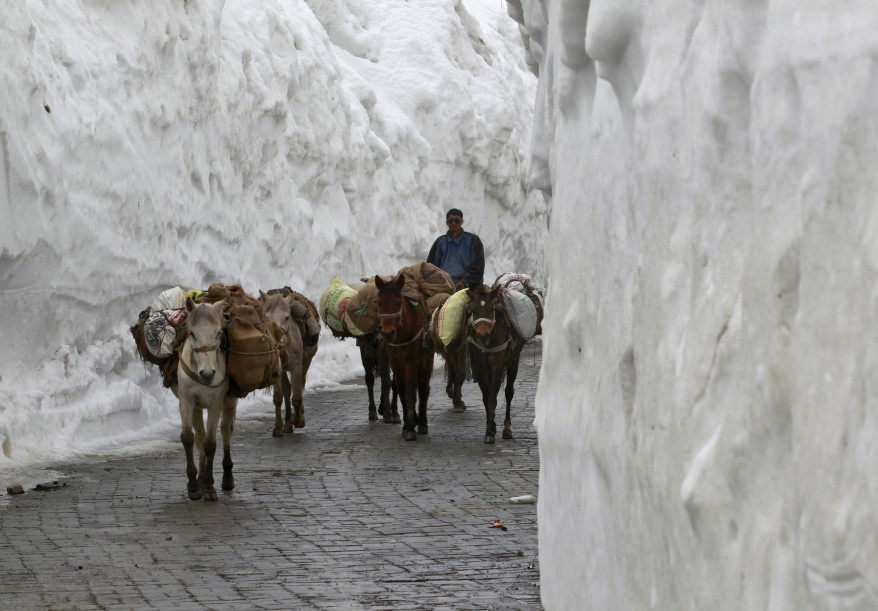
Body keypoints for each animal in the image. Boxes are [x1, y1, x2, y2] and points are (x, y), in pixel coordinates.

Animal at [376, 272, 434, 440]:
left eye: (397, 302)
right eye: (379, 303)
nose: (387, 333)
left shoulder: (412, 361)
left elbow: (410, 392)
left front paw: (410, 427)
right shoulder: (395, 362)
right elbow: (401, 390)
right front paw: (408, 423)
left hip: (427, 360)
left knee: (423, 389)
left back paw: (422, 422)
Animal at [468, 284, 524, 448]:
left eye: (491, 309)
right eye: (473, 310)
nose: (482, 336)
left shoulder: (498, 366)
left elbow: (493, 398)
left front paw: (489, 433)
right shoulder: (480, 368)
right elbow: (486, 398)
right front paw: (491, 428)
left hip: (514, 360)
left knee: (509, 392)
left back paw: (507, 428)